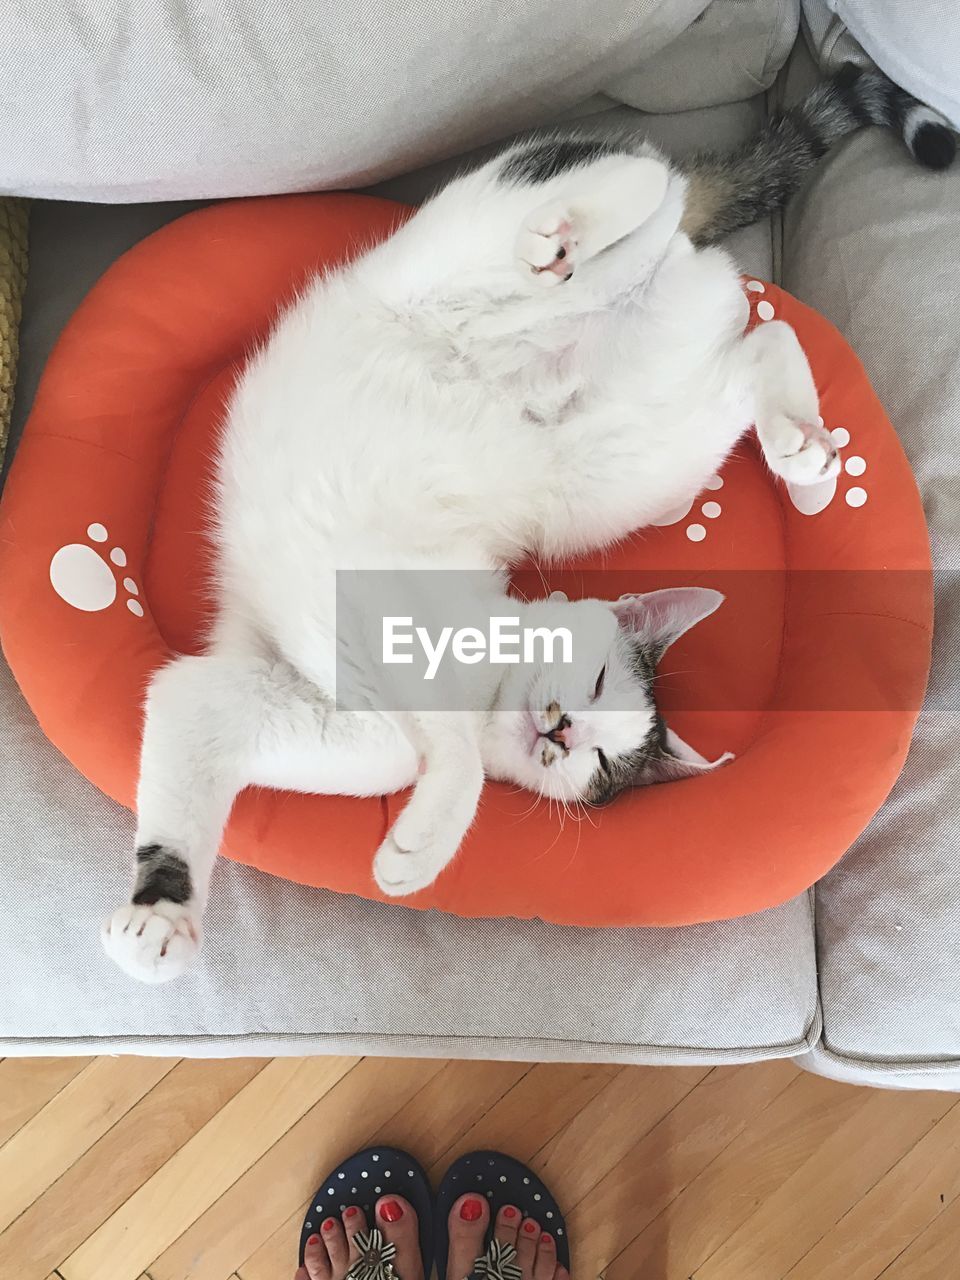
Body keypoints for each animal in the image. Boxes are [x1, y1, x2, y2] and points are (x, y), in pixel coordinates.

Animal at [101, 64, 957, 983]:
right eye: (597, 683)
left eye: (604, 759)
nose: (562, 727)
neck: (477, 687)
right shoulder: (368, 601)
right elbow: (449, 758)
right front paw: (425, 834)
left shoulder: (270, 694)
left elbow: (274, 727)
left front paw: (161, 917)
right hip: (470, 260)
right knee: (637, 181)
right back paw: (564, 239)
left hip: (623, 457)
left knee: (759, 339)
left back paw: (806, 460)